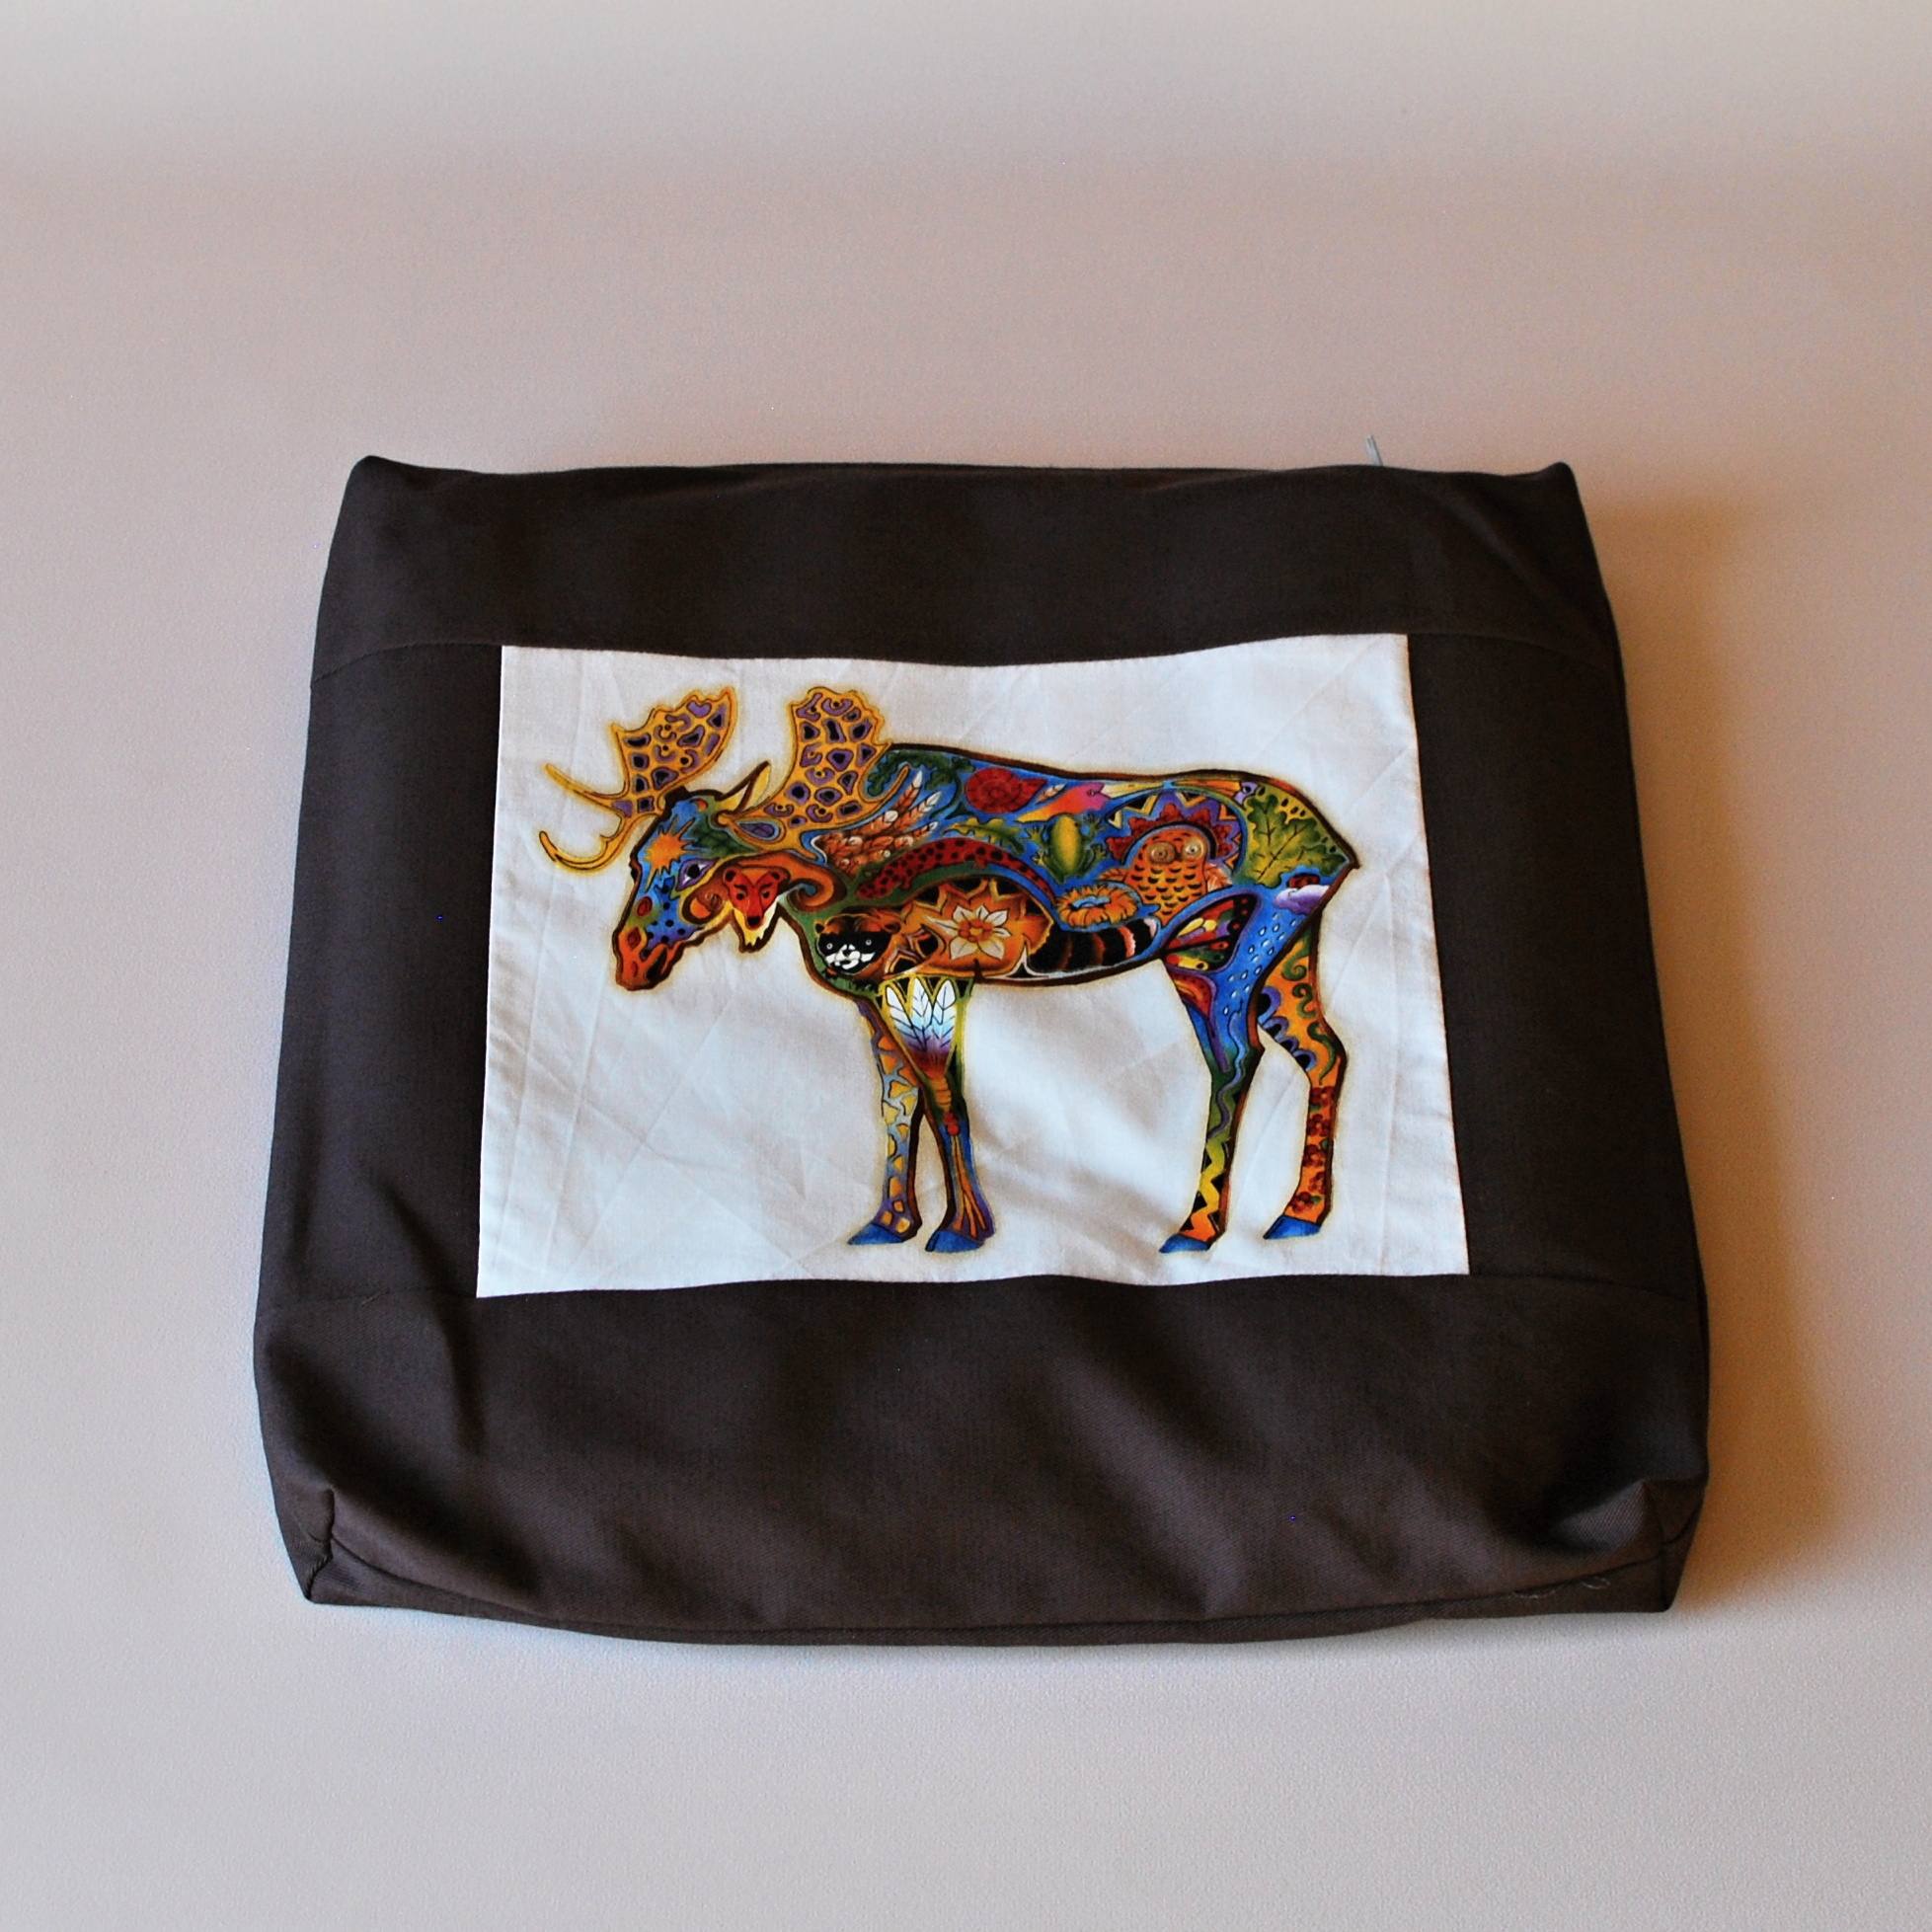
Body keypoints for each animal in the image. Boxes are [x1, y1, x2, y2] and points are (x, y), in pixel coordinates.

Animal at [537, 686, 1355, 1256]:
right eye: (638, 864)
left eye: (701, 871)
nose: (631, 957)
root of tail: (1339, 849)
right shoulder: (868, 991)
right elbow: (896, 1104)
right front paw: (887, 1222)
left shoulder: (937, 971)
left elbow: (945, 1099)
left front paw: (961, 1229)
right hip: (1260, 953)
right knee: (1323, 1052)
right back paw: (1299, 1215)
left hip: (1233, 953)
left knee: (1235, 1059)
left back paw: (1198, 1227)